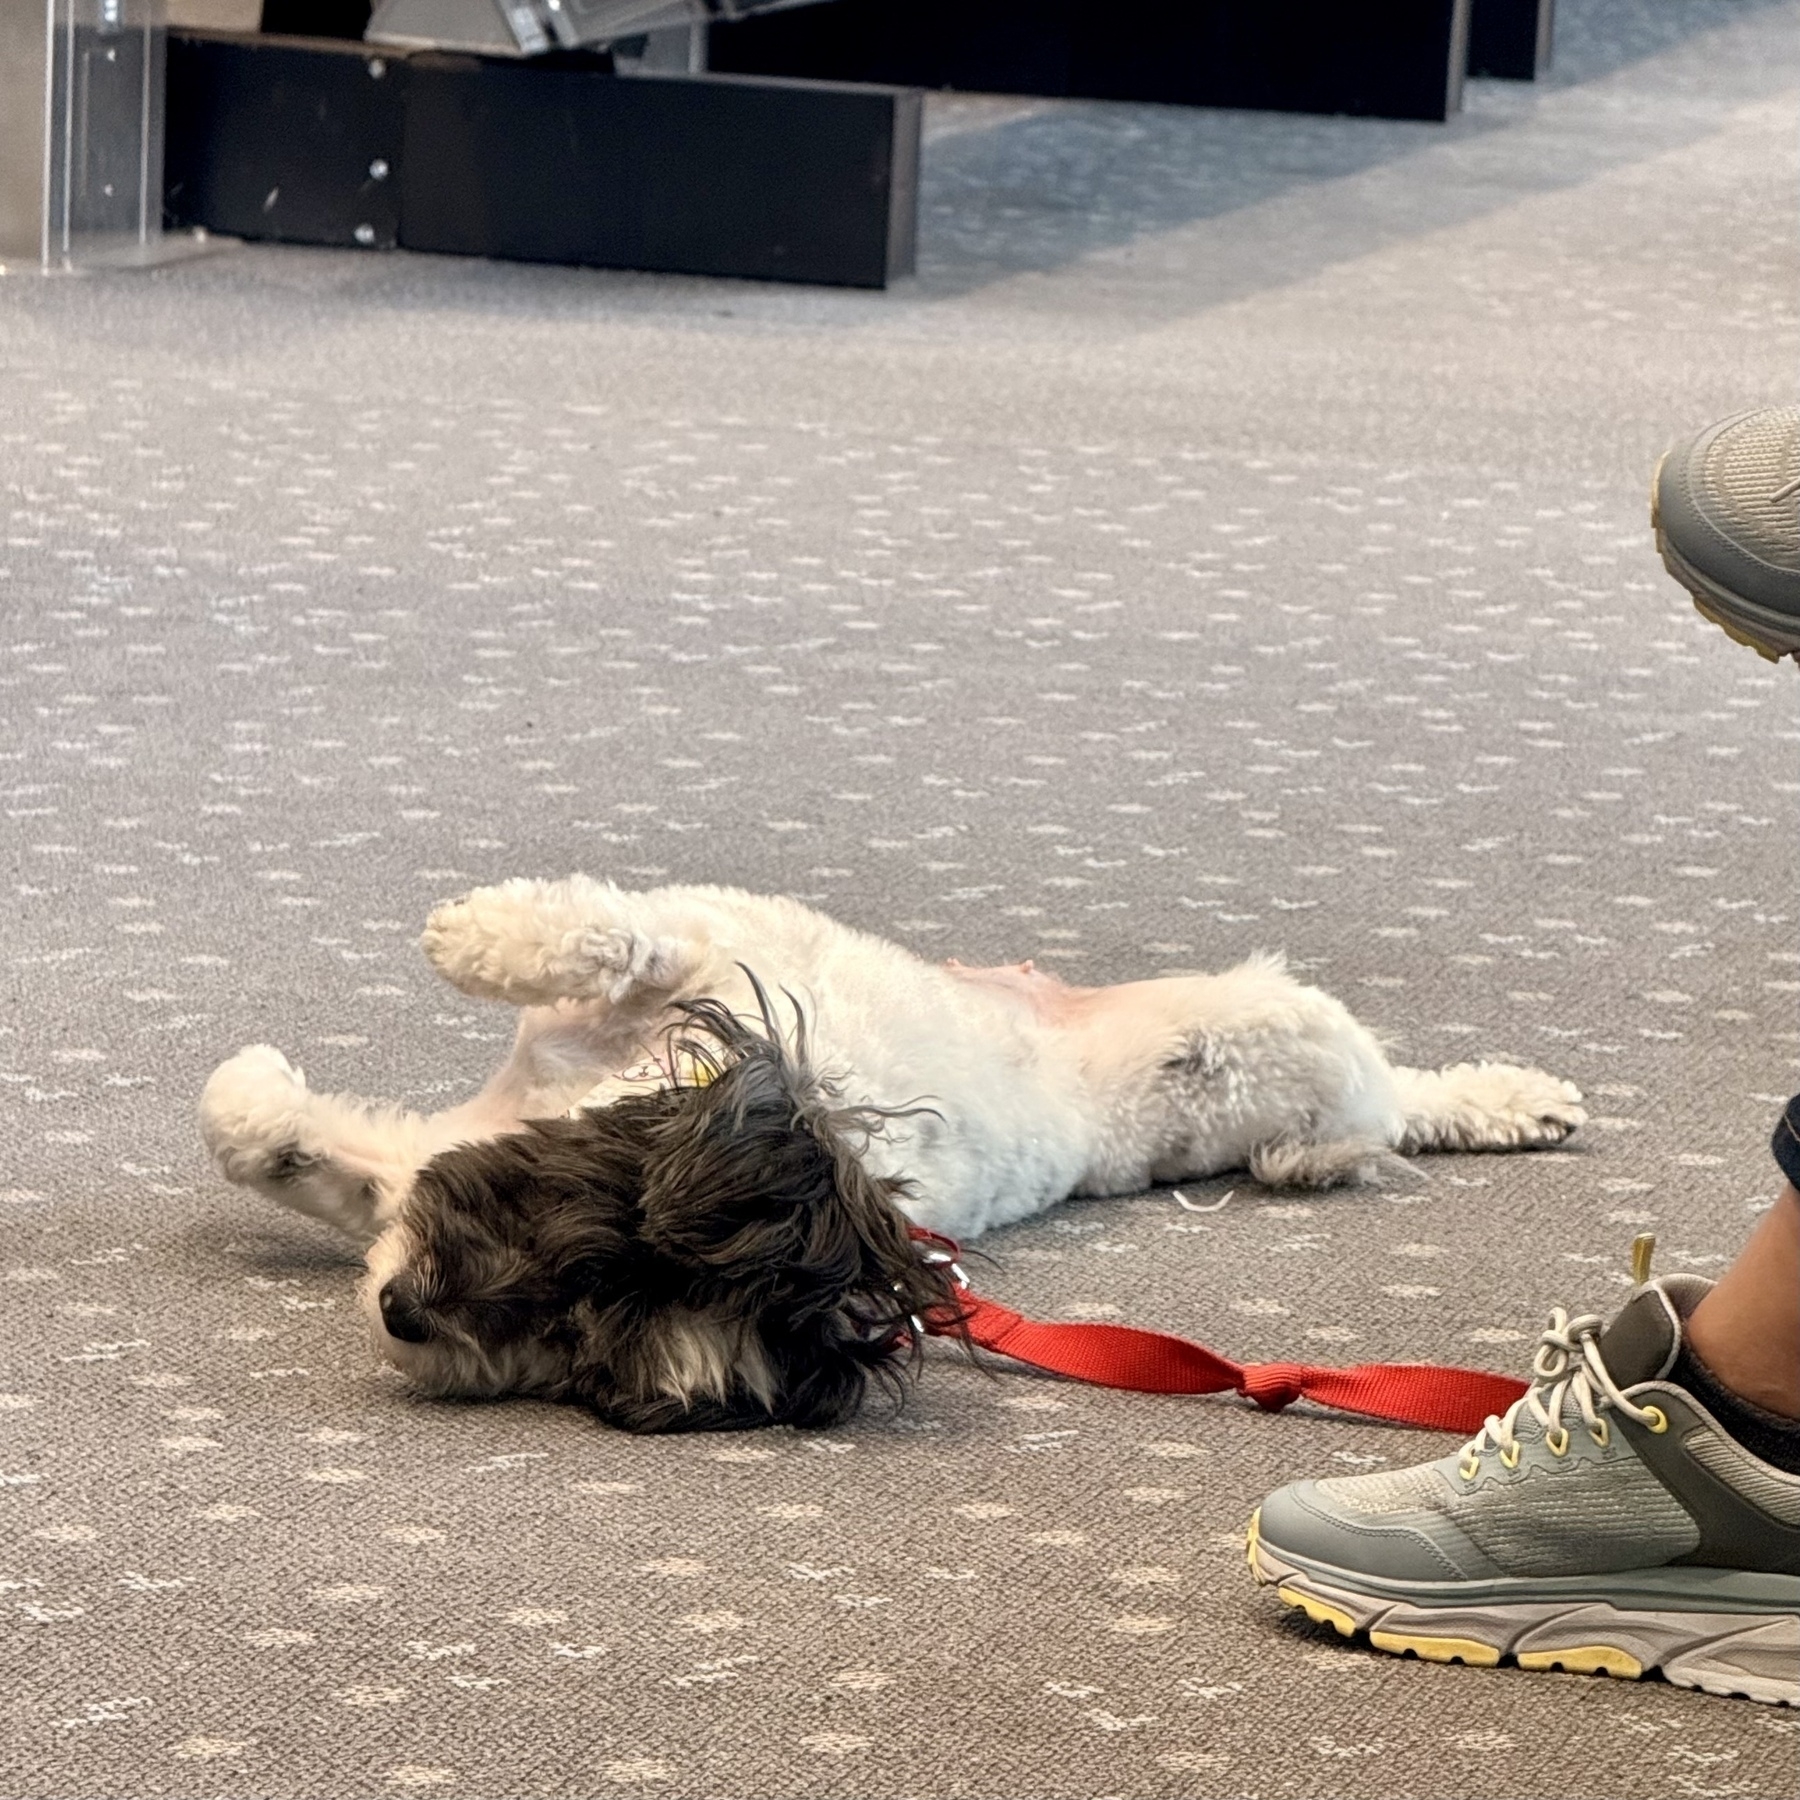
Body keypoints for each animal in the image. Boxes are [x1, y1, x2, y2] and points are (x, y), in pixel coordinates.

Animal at [197, 871, 1584, 1432]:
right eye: (572, 1243)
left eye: (582, 1339)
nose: (407, 1316)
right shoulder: (695, 950)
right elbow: (608, 931)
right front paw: (470, 934)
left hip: (1272, 1044)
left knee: (1380, 1102)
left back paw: (1389, 1135)